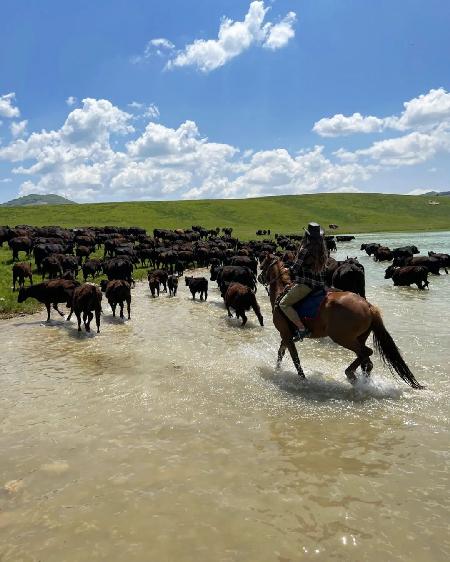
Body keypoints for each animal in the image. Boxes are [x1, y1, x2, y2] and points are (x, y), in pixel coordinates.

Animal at [258, 256, 424, 388]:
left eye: (263, 265)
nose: (259, 277)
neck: (282, 291)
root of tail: (368, 306)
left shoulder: (286, 334)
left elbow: (294, 358)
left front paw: (301, 378)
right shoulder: (286, 335)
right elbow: (281, 353)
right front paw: (277, 369)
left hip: (342, 338)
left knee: (366, 353)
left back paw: (350, 374)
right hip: (358, 338)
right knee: (366, 361)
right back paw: (362, 380)